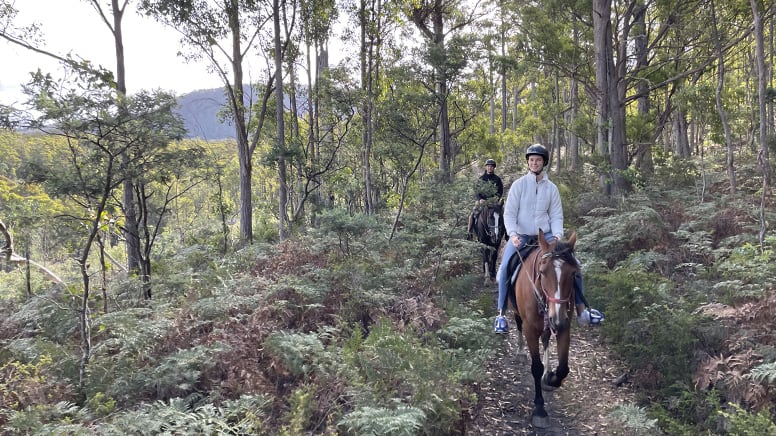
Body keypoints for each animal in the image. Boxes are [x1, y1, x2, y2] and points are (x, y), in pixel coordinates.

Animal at [512, 230, 580, 428]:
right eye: (542, 273)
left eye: (573, 273)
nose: (557, 319)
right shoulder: (530, 329)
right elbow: (536, 367)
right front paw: (540, 409)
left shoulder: (565, 327)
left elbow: (564, 368)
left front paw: (550, 377)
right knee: (518, 323)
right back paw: (520, 352)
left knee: (546, 339)